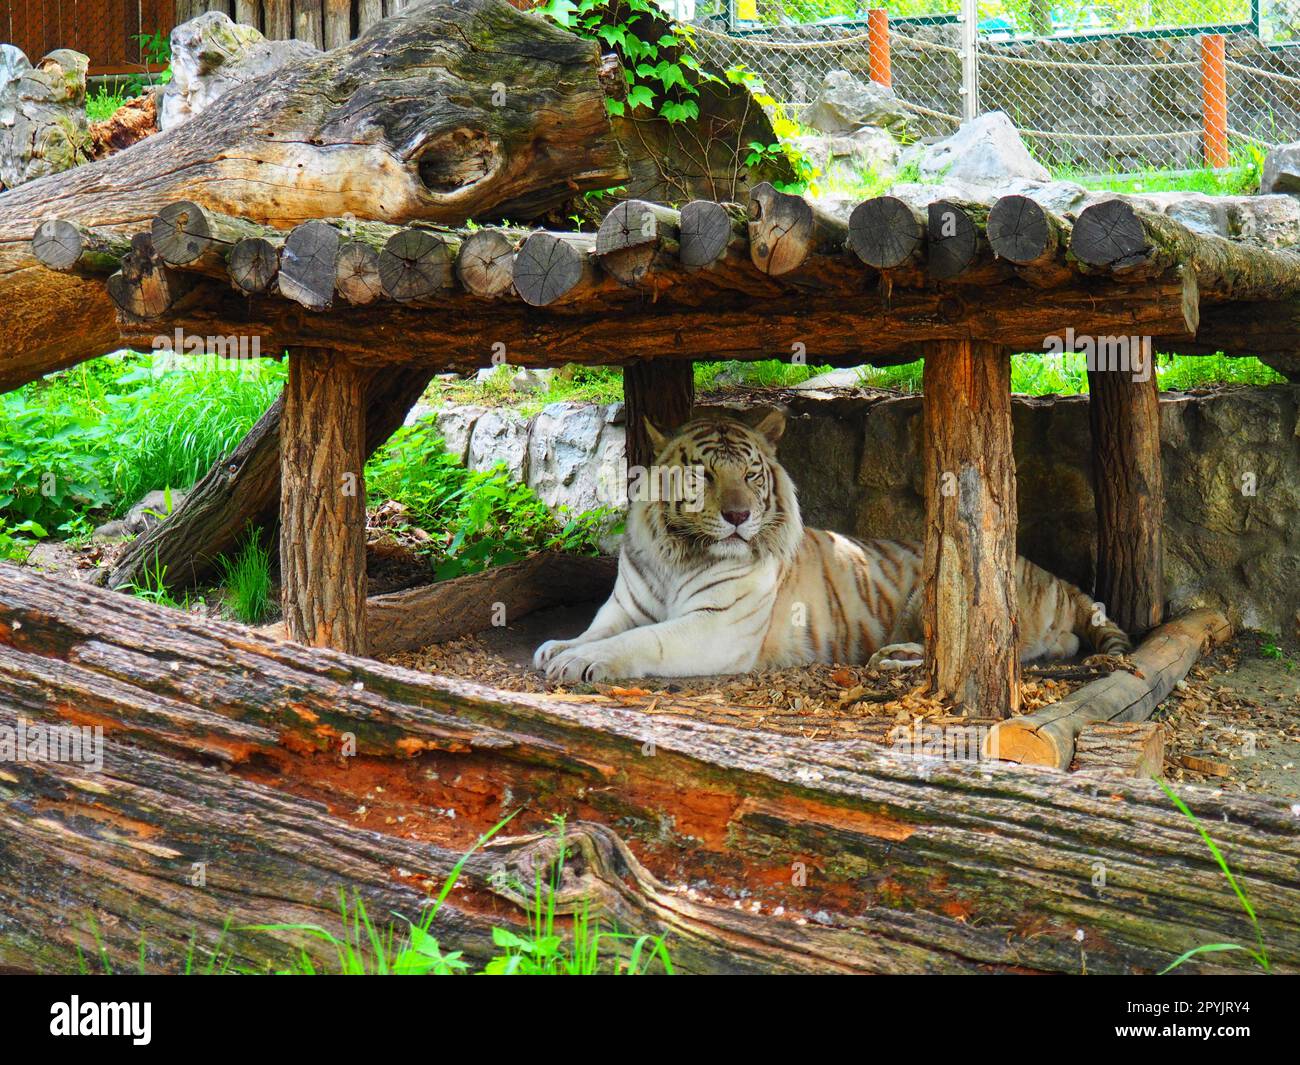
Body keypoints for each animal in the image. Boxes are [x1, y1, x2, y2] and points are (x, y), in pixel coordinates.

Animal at [533, 410, 1133, 681]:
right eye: (703, 474)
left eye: (751, 474)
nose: (738, 516)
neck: (676, 556)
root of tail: (1057, 580)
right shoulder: (625, 605)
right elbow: (600, 628)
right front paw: (559, 646)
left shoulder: (716, 627)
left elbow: (644, 641)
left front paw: (580, 662)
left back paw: (893, 656)